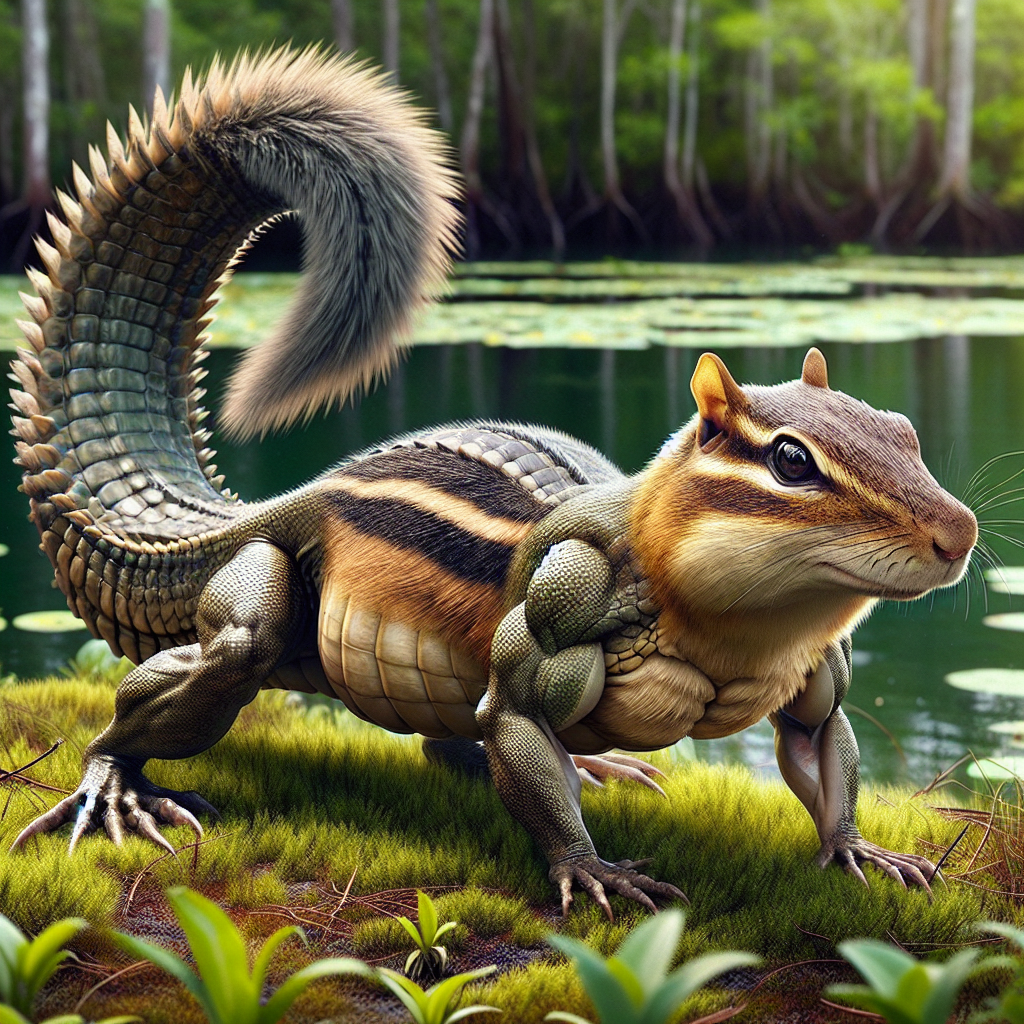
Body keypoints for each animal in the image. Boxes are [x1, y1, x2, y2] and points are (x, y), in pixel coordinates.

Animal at [8, 47, 977, 917]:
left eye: (904, 431)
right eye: (789, 460)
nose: (960, 534)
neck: (735, 633)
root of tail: (270, 502)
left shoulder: (820, 677)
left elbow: (824, 748)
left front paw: (861, 851)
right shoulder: (553, 621)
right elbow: (518, 723)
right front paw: (595, 871)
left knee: (453, 742)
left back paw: (593, 762)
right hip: (253, 608)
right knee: (170, 687)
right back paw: (112, 790)